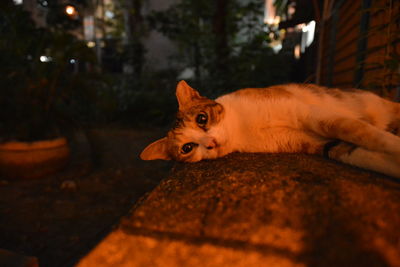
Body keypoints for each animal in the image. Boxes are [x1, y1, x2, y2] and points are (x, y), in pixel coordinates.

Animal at [140, 80, 400, 179]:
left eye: (202, 119)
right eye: (187, 148)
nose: (211, 143)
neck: (243, 128)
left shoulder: (309, 114)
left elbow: (362, 132)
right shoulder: (319, 143)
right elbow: (357, 150)